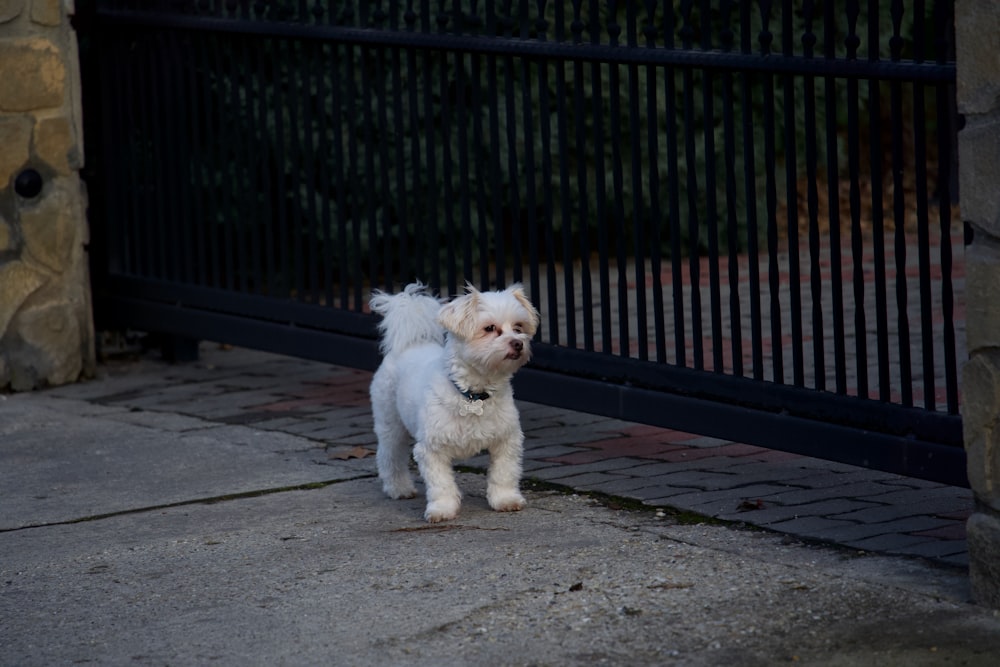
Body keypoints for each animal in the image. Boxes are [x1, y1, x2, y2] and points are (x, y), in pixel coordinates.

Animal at [368, 280, 540, 520]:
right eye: (489, 328)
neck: (473, 394)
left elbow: (504, 473)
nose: (517, 343)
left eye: (518, 327)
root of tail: (411, 345)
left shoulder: (507, 440)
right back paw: (398, 488)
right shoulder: (431, 449)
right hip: (391, 425)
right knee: (389, 458)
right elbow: (441, 484)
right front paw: (442, 508)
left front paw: (505, 499)